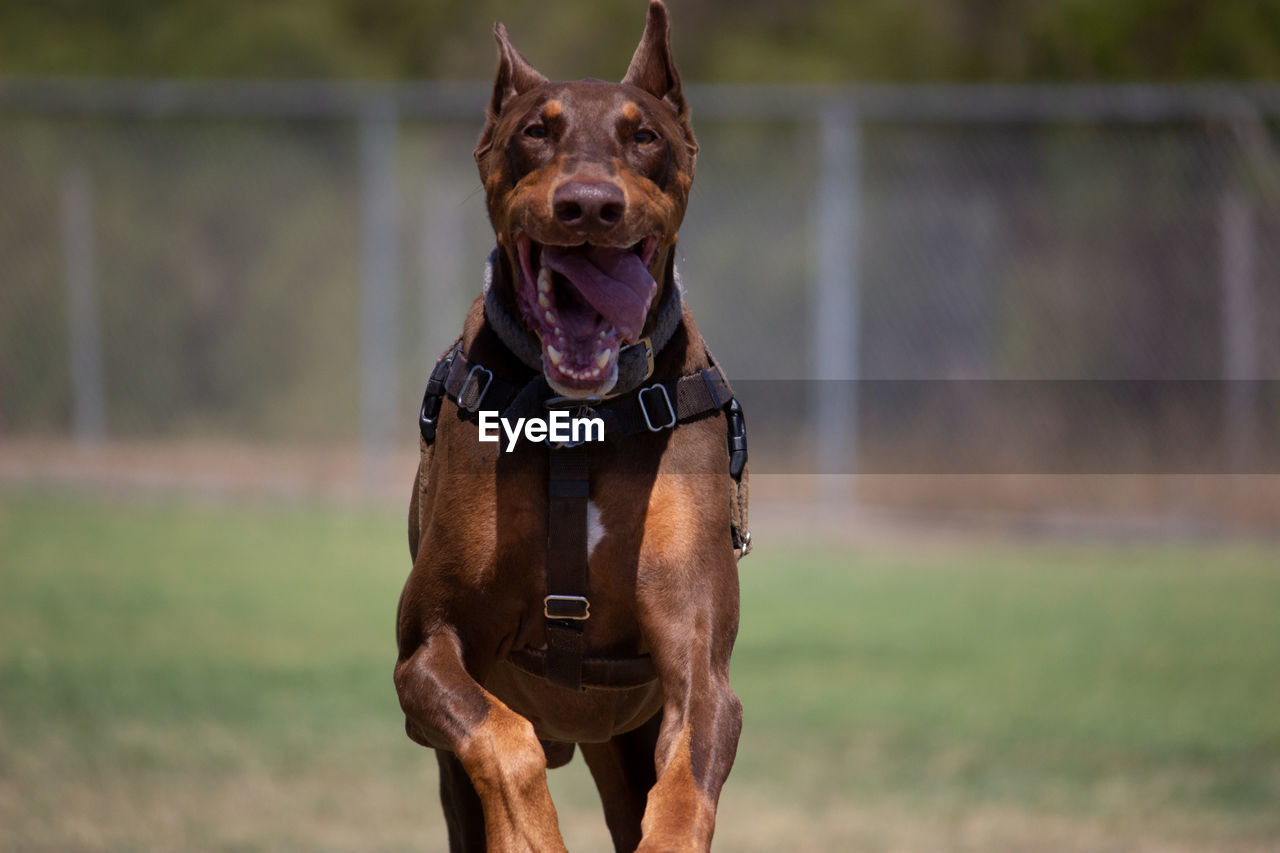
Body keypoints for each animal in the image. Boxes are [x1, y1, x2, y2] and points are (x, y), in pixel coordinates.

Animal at [391, 3, 747, 845]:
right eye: (535, 130)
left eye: (643, 135)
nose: (589, 205)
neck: (581, 419)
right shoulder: (424, 650)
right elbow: (503, 736)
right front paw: (533, 835)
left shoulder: (700, 668)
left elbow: (687, 784)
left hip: (626, 745)